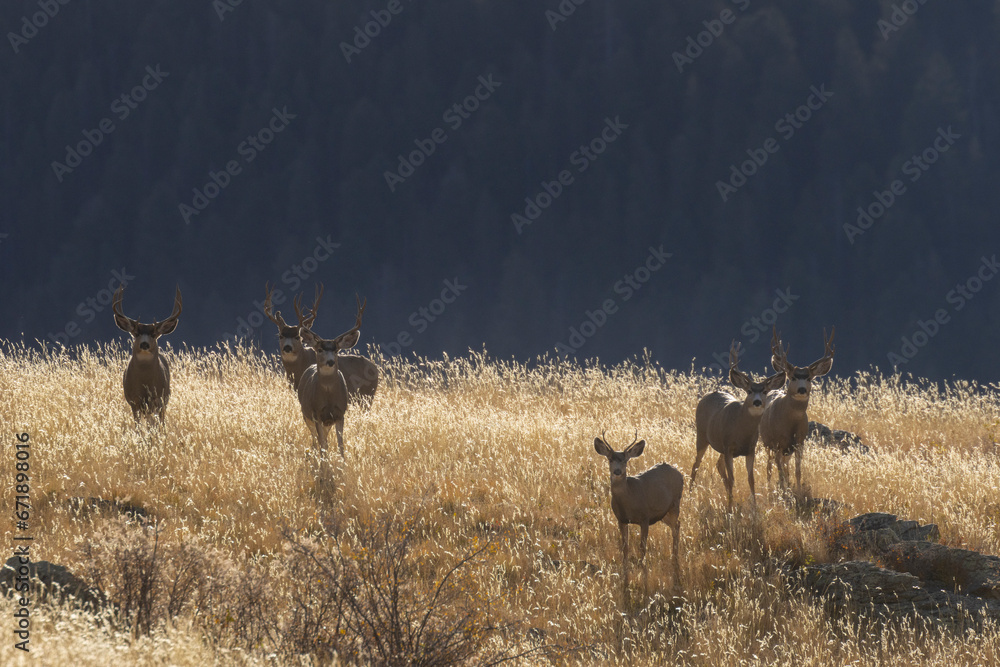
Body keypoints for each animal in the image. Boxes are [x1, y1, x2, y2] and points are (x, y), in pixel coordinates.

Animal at [112, 284, 183, 420]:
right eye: (136, 333)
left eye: (154, 334)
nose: (144, 344)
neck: (145, 383)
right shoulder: (134, 401)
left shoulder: (159, 399)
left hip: (164, 399)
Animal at [296, 296, 368, 460]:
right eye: (319, 349)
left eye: (336, 350)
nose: (330, 362)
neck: (328, 397)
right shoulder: (316, 413)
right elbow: (323, 445)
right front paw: (324, 464)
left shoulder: (340, 414)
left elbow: (341, 446)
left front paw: (343, 464)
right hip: (305, 414)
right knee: (316, 440)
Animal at [588, 434, 684, 584]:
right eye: (610, 459)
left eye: (625, 460)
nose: (617, 471)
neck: (629, 498)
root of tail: (680, 473)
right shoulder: (621, 520)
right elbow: (625, 547)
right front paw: (625, 574)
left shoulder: (645, 517)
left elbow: (642, 547)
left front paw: (643, 572)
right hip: (663, 514)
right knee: (677, 525)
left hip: (675, 503)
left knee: (675, 527)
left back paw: (675, 560)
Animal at [692, 342, 784, 508]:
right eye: (748, 391)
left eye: (765, 391)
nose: (757, 402)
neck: (742, 432)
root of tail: (708, 395)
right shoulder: (729, 447)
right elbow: (732, 479)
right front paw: (730, 508)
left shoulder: (750, 449)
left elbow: (751, 479)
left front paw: (754, 507)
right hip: (701, 435)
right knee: (696, 464)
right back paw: (689, 494)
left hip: (719, 446)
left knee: (718, 465)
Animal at [756, 326, 836, 494]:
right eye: (792, 377)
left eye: (809, 378)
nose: (801, 390)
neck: (790, 424)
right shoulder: (776, 441)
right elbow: (778, 470)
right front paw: (782, 490)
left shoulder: (800, 441)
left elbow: (797, 471)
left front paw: (797, 490)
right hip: (767, 442)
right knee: (769, 466)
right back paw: (770, 487)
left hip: (786, 449)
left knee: (784, 465)